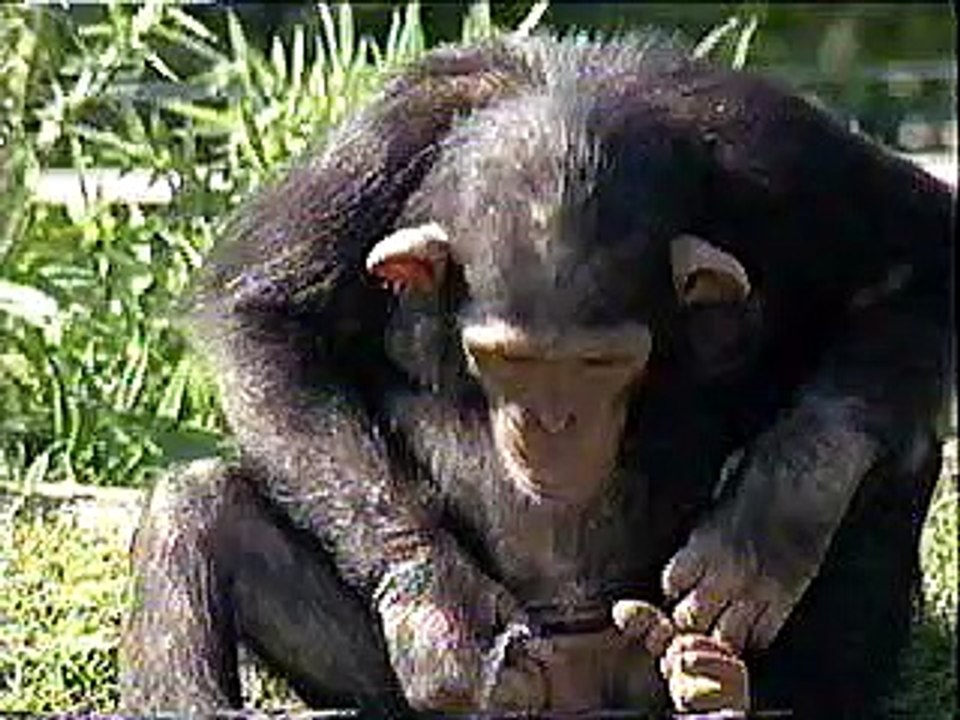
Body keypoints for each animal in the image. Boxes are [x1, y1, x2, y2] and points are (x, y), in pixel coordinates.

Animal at [120, 32, 953, 717]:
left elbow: (923, 251)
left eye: (601, 363)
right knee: (196, 504)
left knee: (894, 447)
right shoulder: (381, 139)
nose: (555, 426)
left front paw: (767, 525)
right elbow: (262, 315)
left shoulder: (780, 148)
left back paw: (735, 688)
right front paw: (438, 614)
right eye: (508, 361)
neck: (567, 108)